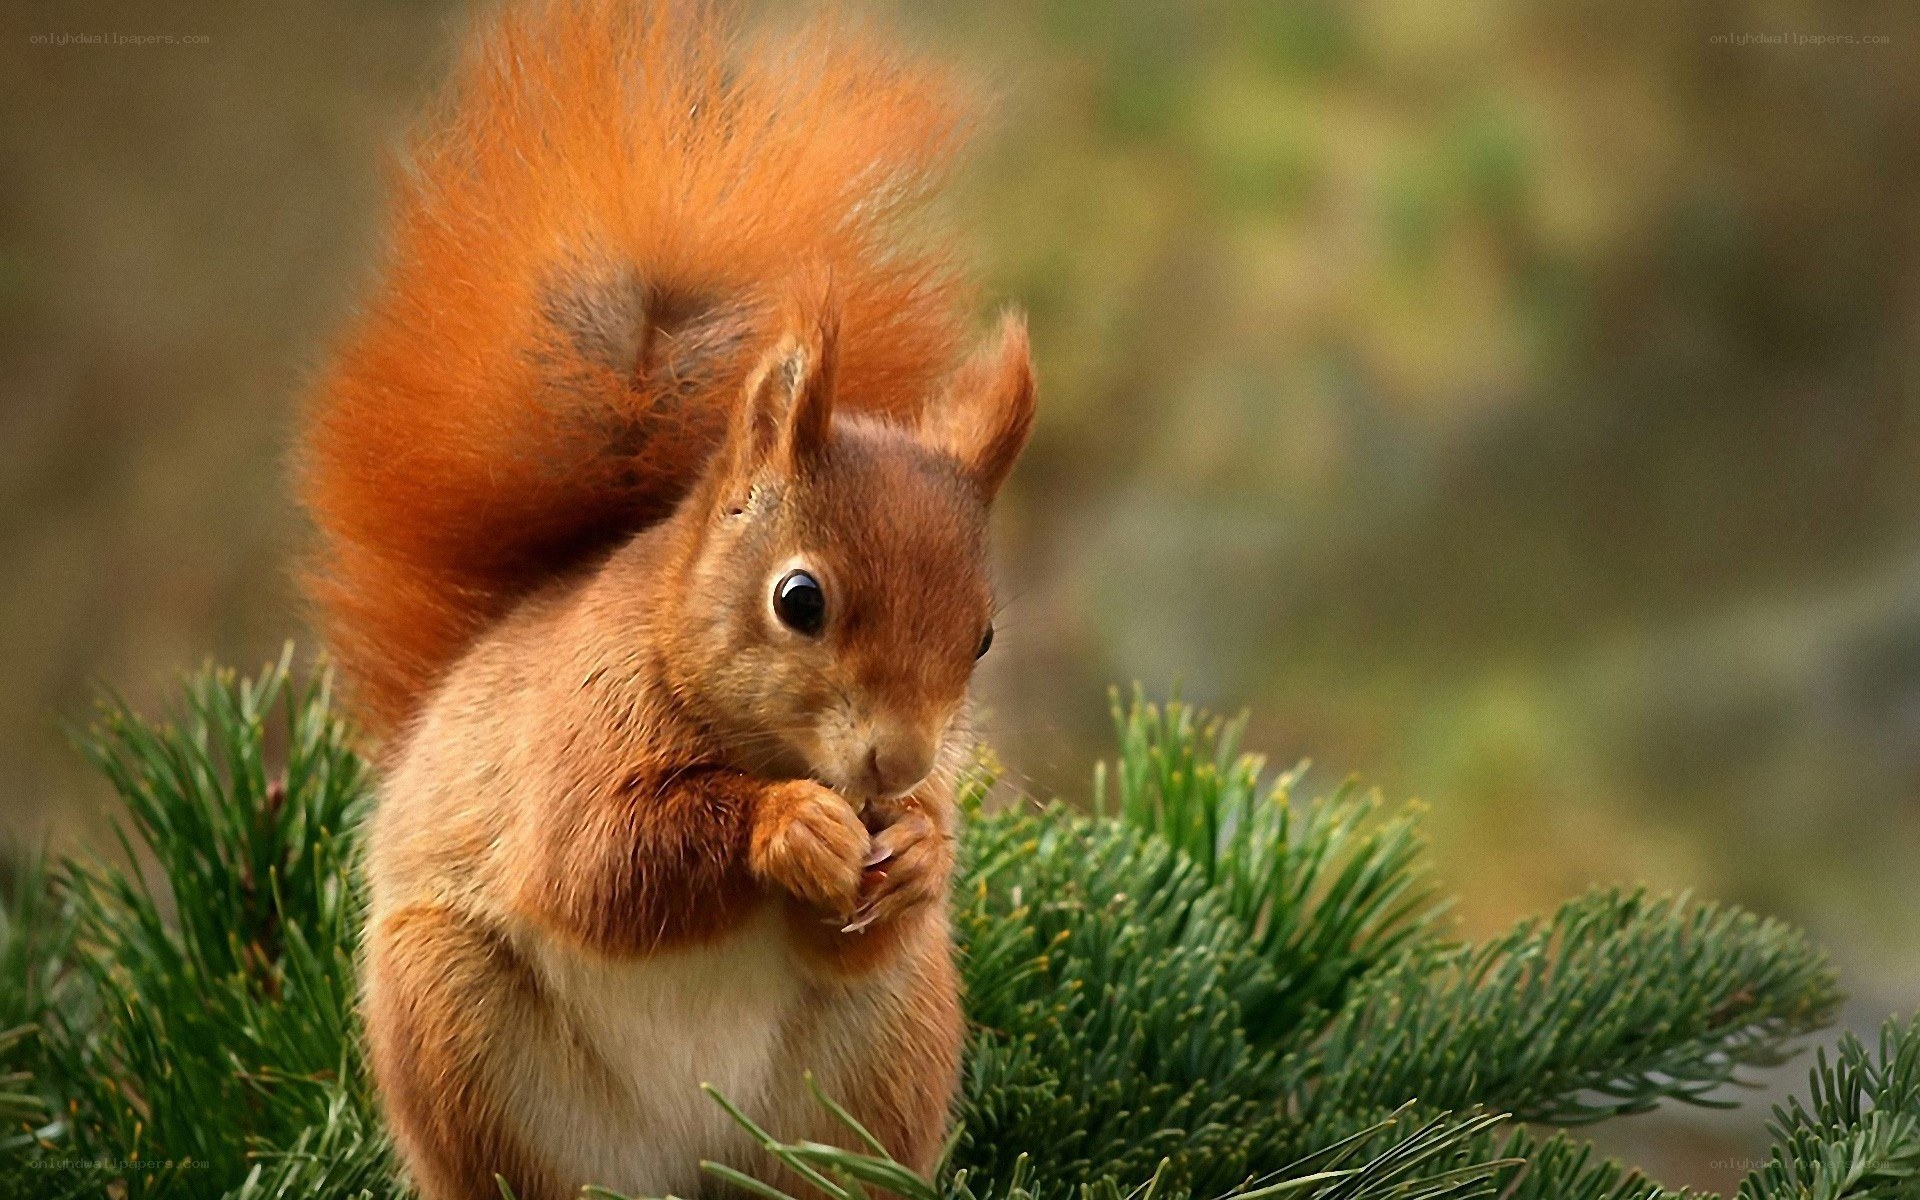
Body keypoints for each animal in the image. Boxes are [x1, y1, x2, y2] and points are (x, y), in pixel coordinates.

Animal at [296, 2, 1034, 1198]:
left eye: (982, 637)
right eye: (798, 599)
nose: (900, 764)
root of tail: (693, 1165)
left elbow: (864, 920)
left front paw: (923, 851)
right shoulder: (579, 729)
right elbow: (599, 862)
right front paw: (788, 826)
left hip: (886, 1050)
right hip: (454, 1024)